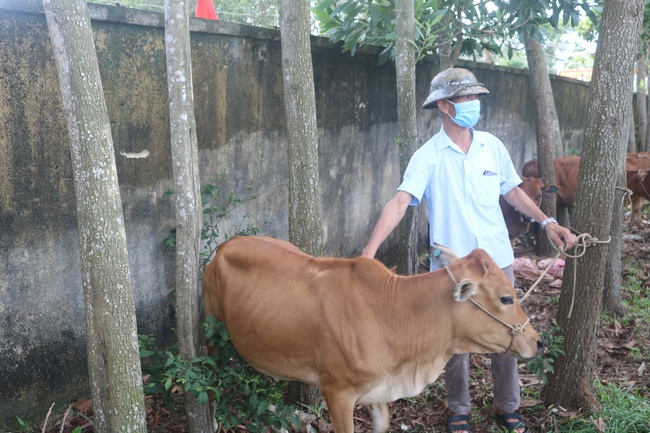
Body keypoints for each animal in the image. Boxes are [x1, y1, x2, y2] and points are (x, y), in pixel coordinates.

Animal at [204, 236, 540, 432]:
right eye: (506, 298)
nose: (537, 340)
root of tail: (225, 245)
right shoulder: (337, 391)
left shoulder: (378, 389)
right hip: (212, 329)